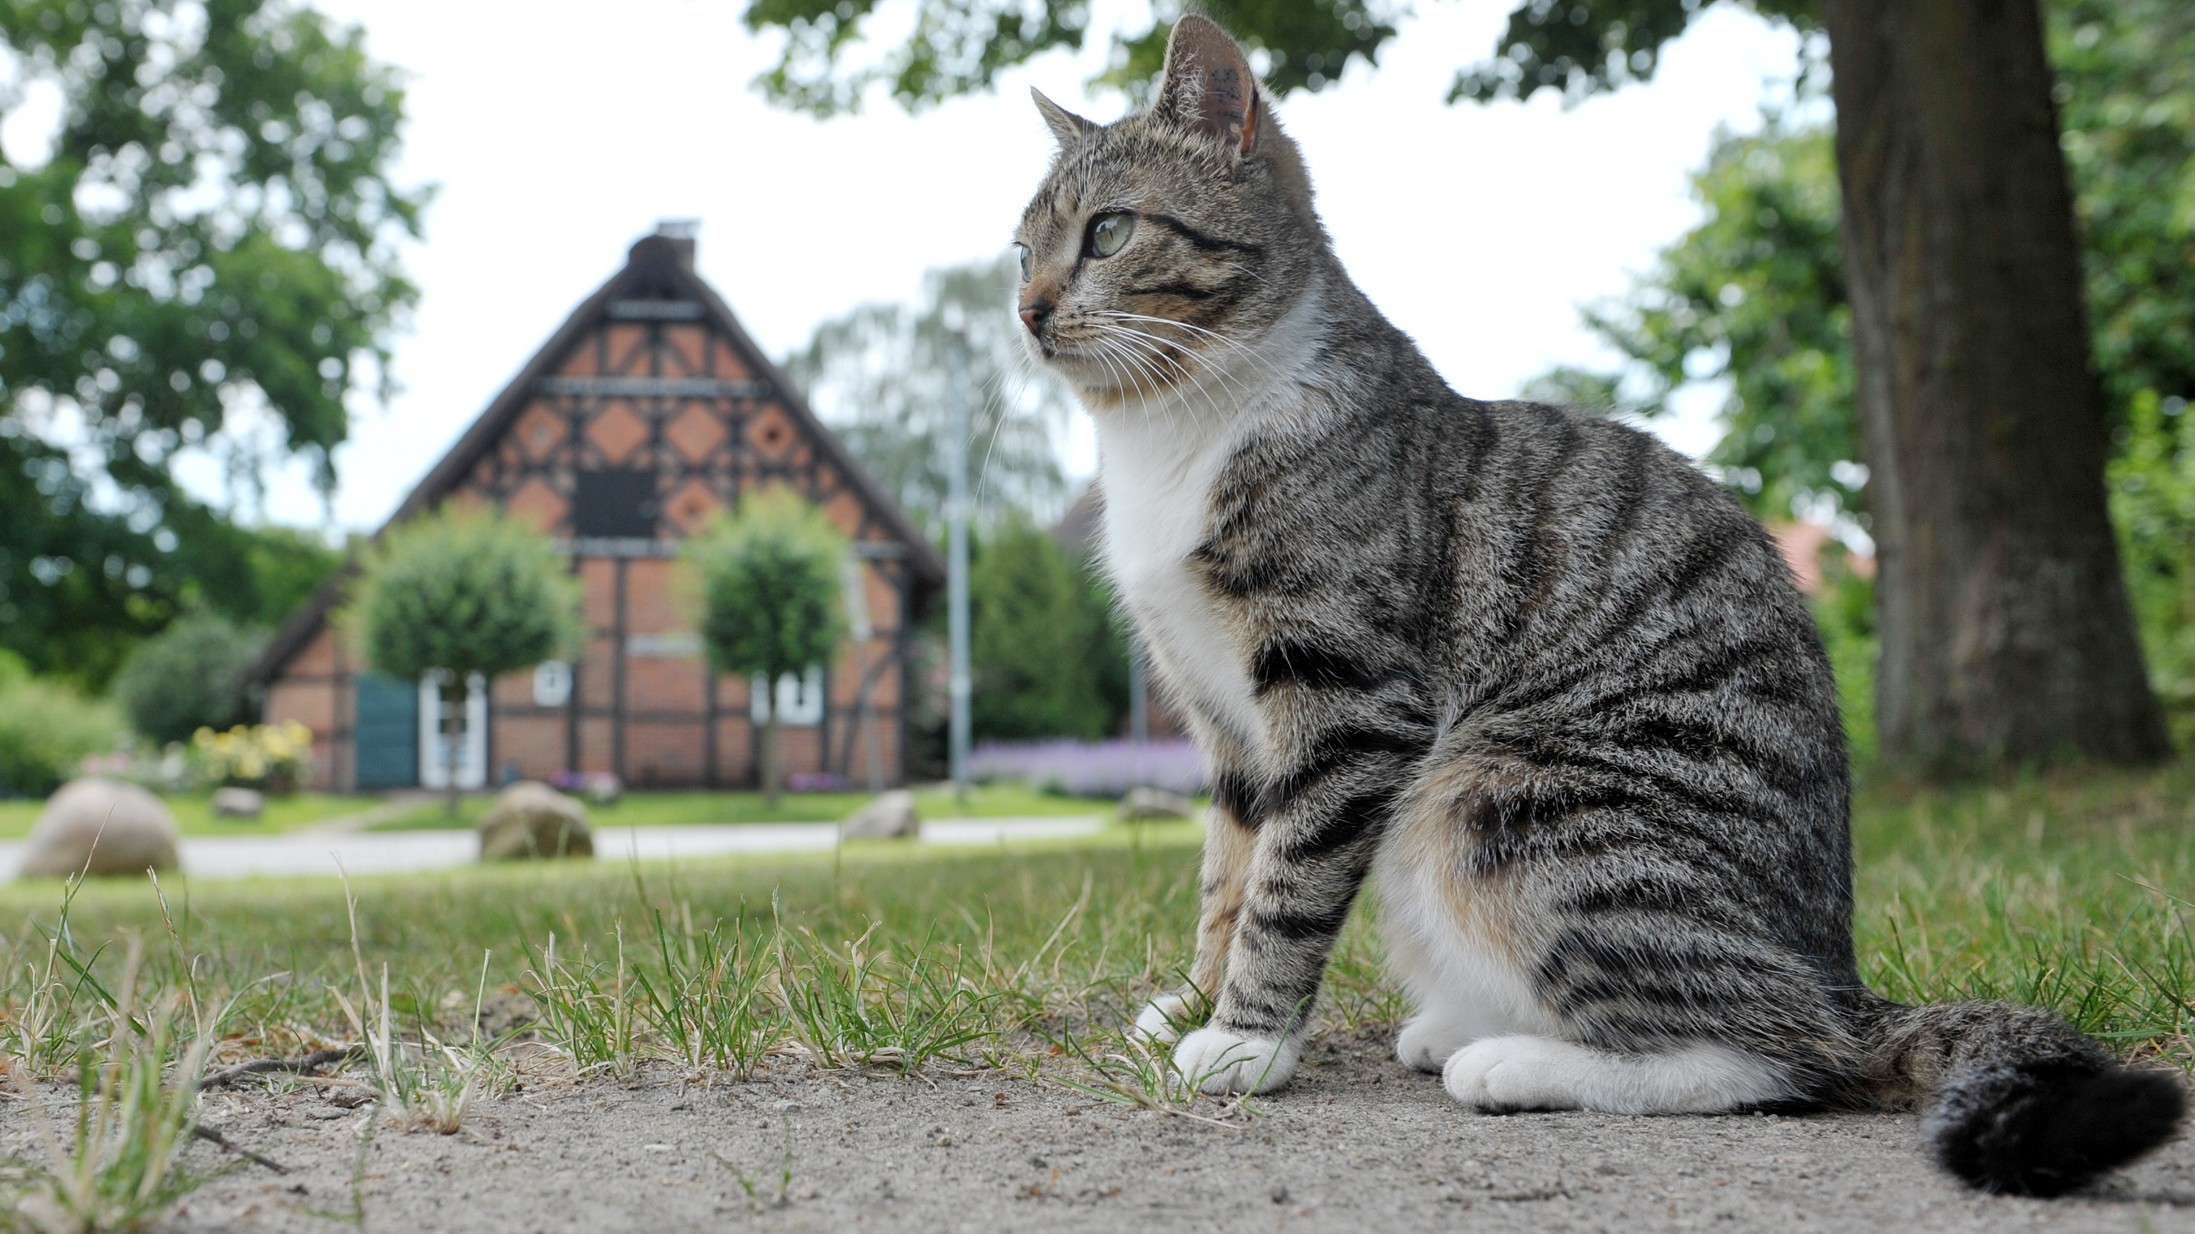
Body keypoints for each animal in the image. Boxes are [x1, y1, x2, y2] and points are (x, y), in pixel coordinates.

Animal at [1009, 14, 2177, 1194]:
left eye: (1108, 233)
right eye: (1022, 250)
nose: (1026, 311)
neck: (1173, 433)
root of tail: (1840, 976)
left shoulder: (1346, 700)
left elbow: (1284, 887)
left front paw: (1245, 1040)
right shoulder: (1221, 717)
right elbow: (1227, 872)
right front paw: (1192, 1002)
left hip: (1492, 797)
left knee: (1783, 1052)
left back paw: (1514, 1060)